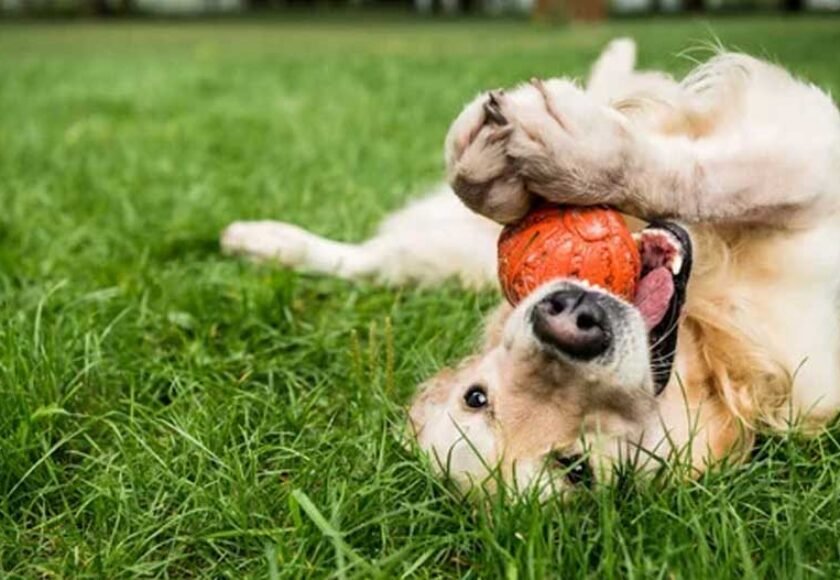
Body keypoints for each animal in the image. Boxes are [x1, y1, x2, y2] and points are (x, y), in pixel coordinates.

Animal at [221, 38, 840, 496]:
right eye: (478, 396)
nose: (568, 320)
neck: (715, 342)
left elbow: (709, 176)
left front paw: (560, 154)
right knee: (372, 260)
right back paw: (261, 241)